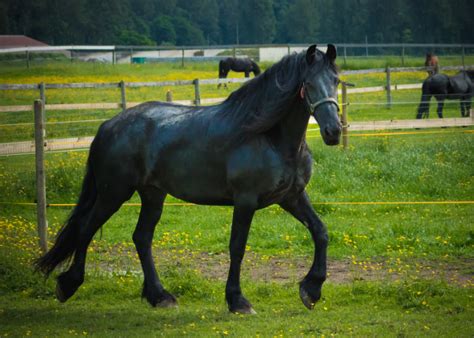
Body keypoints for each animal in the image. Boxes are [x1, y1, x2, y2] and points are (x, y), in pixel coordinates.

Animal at [36, 45, 340, 314]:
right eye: (309, 84)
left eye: (336, 81)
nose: (333, 131)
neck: (269, 137)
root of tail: (107, 126)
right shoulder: (245, 201)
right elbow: (237, 247)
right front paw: (237, 301)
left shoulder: (291, 197)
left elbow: (321, 232)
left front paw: (311, 290)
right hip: (114, 193)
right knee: (86, 228)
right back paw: (68, 284)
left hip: (152, 195)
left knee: (141, 237)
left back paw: (159, 296)